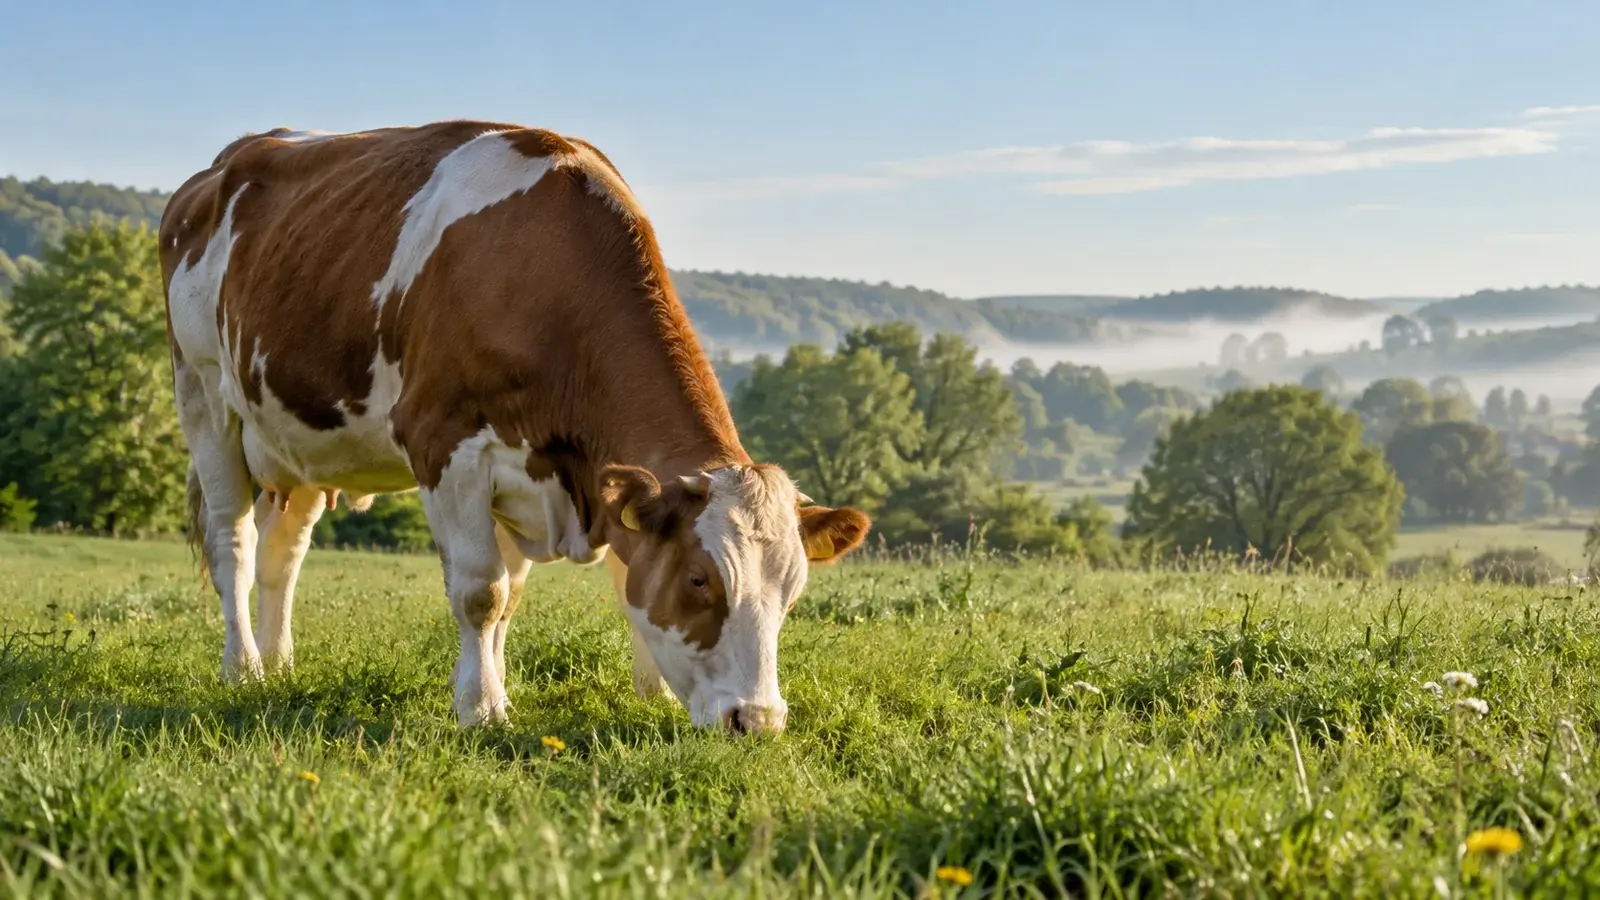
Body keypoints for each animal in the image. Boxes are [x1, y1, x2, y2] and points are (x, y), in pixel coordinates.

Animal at [157, 120, 871, 735]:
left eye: (793, 591)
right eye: (701, 578)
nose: (759, 720)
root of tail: (222, 165)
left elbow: (543, 594)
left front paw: (649, 695)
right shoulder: (446, 443)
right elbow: (483, 592)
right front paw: (482, 708)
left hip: (300, 437)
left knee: (283, 553)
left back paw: (280, 664)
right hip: (203, 395)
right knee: (233, 543)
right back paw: (243, 668)